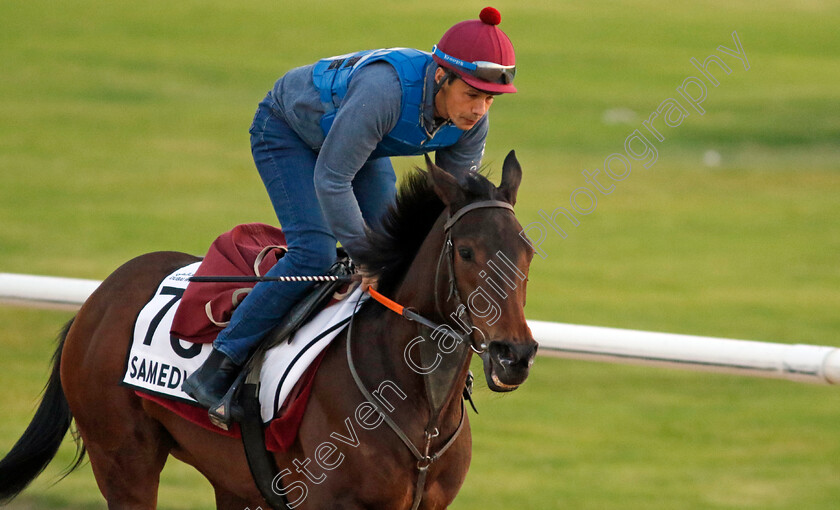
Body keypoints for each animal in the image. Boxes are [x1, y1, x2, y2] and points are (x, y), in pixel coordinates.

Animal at [1, 152, 540, 510]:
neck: (418, 408)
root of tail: (96, 300)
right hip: (123, 460)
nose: (514, 354)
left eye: (528, 251)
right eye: (466, 252)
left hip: (230, 479)